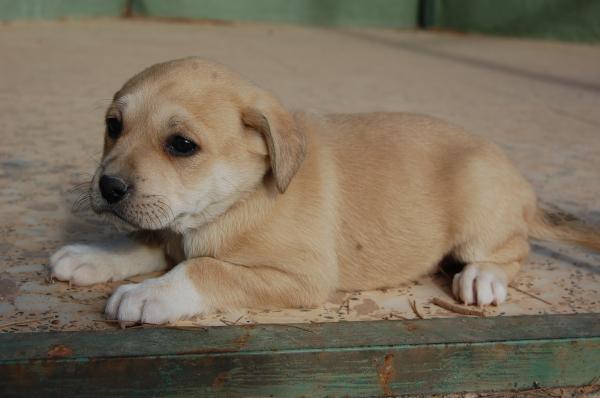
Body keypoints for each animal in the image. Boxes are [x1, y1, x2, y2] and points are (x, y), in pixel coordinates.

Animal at [49, 57, 600, 324]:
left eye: (181, 145)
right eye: (113, 126)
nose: (108, 186)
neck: (239, 200)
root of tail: (523, 185)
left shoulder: (302, 277)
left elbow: (205, 268)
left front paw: (149, 294)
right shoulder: (170, 227)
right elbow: (143, 240)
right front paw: (91, 255)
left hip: (480, 212)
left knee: (515, 247)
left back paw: (482, 277)